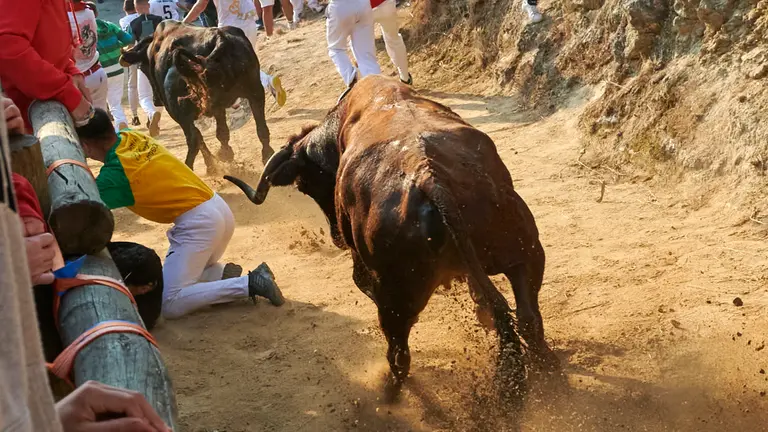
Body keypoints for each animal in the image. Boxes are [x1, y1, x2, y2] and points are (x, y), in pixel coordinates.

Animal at [120, 20, 273, 171]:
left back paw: (194, 166)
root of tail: (219, 39)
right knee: (260, 127)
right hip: (254, 91)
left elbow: (198, 135)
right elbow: (222, 131)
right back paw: (265, 155)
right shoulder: (218, 106)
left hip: (181, 111)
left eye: (143, 68)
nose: (156, 100)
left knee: (194, 138)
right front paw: (224, 155)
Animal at [224, 75, 559, 400]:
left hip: (395, 298)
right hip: (526, 254)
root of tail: (430, 177)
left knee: (399, 351)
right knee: (528, 319)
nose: (336, 236)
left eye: (304, 184)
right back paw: (549, 368)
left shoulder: (364, 267)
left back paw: (387, 392)